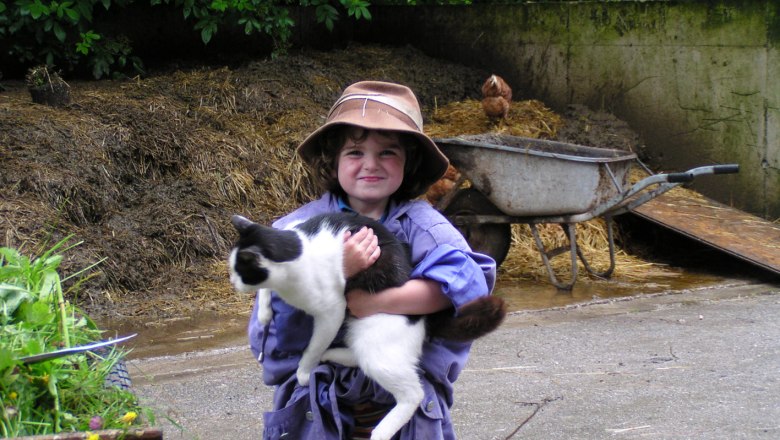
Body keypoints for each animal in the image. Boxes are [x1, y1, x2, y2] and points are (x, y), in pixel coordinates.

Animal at [227, 213, 506, 440]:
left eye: (239, 271)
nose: (232, 281)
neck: (299, 248)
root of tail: (424, 319)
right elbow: (266, 292)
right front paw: (264, 314)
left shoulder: (332, 312)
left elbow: (312, 348)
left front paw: (304, 372)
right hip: (362, 336)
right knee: (356, 355)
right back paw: (332, 354)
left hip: (377, 348)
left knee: (412, 393)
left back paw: (382, 430)